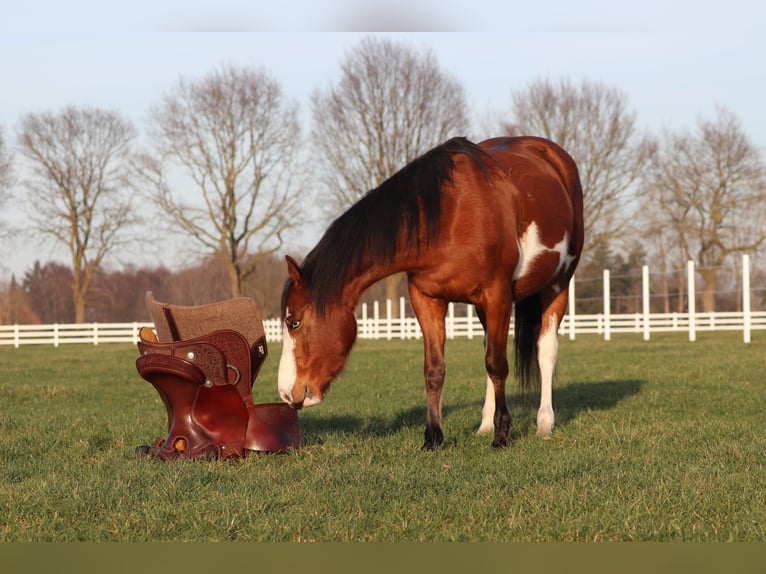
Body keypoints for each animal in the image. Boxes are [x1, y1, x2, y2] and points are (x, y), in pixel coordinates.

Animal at [278, 136, 584, 449]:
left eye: (294, 322)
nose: (286, 393)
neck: (449, 217)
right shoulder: (427, 300)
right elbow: (435, 369)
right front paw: (434, 436)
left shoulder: (498, 296)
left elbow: (498, 365)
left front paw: (502, 435)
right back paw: (485, 424)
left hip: (558, 284)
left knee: (545, 351)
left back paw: (543, 424)